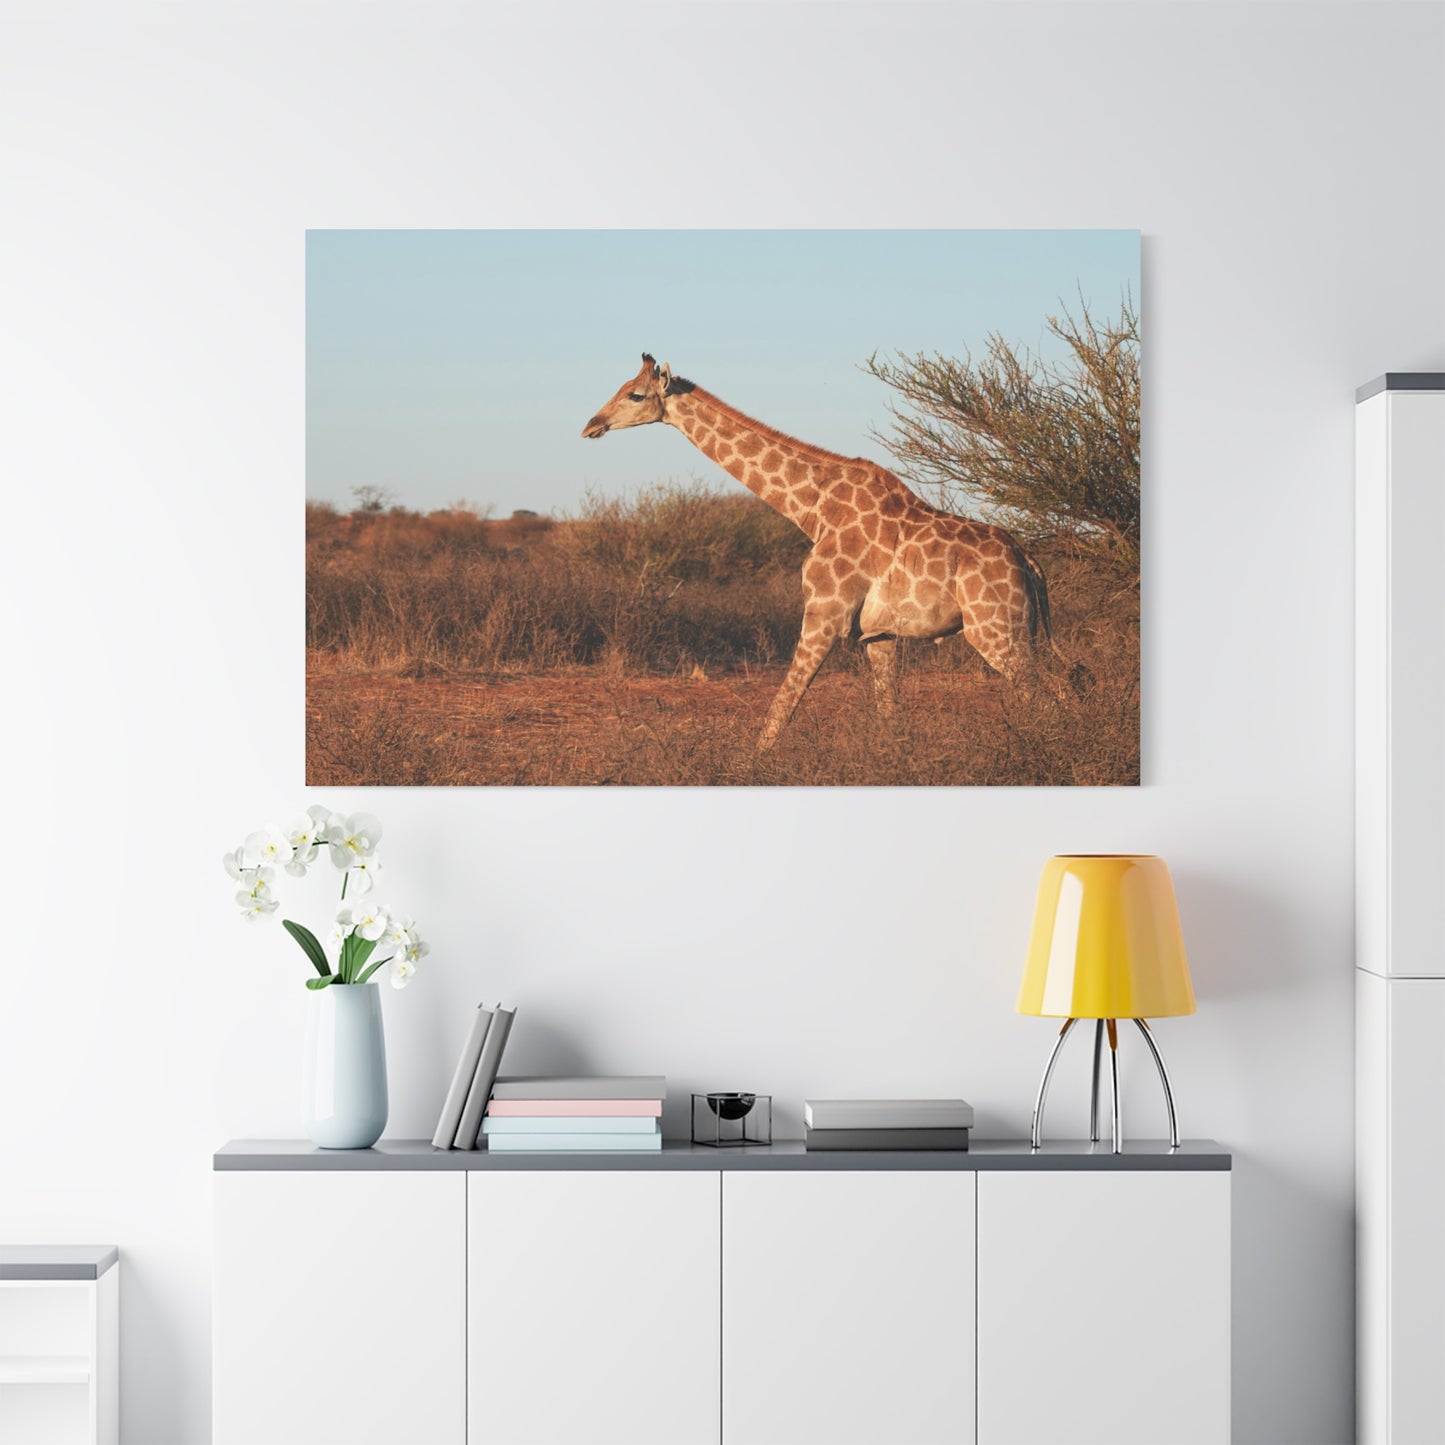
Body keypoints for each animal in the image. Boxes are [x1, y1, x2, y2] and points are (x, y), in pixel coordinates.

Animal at [582, 353, 1054, 751]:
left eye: (635, 394)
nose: (591, 425)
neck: (814, 509)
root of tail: (1029, 562)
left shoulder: (825, 613)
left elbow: (783, 704)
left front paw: (751, 767)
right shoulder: (879, 634)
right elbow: (889, 716)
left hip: (995, 629)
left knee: (1048, 693)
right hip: (1019, 628)